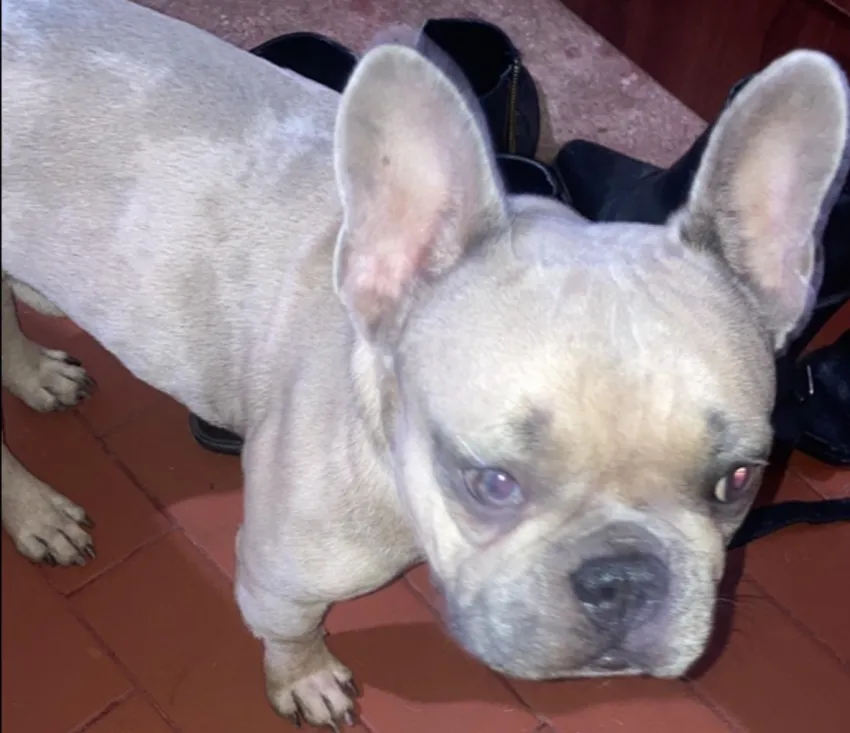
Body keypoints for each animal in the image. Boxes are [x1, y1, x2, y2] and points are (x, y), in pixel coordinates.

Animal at [3, 0, 848, 728]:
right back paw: (37, 510)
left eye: (737, 481)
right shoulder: (277, 574)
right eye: (490, 482)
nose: (624, 577)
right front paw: (304, 678)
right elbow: (289, 632)